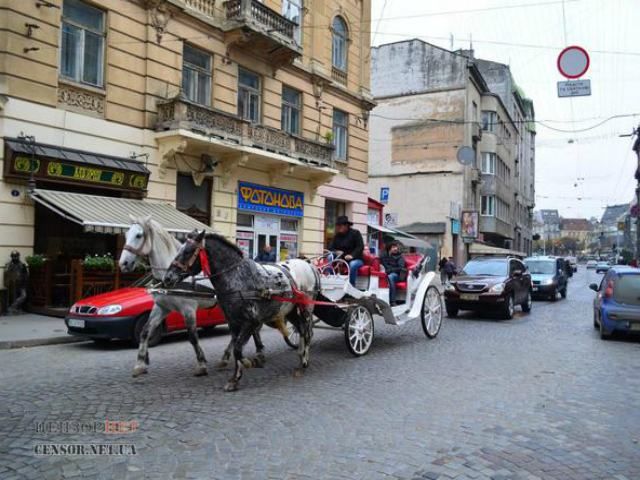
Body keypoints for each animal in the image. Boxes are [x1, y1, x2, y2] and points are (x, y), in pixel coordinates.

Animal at [117, 218, 264, 378]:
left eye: (139, 235)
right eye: (126, 235)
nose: (123, 263)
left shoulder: (188, 310)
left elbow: (193, 337)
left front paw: (201, 364)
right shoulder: (162, 308)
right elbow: (145, 332)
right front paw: (140, 364)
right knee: (244, 329)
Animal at [162, 232, 318, 394]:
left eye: (188, 252)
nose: (167, 278)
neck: (237, 277)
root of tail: (308, 264)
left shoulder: (251, 322)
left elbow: (238, 349)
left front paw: (247, 365)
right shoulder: (233, 322)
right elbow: (236, 346)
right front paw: (235, 378)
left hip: (306, 308)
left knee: (307, 333)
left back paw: (303, 363)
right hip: (290, 310)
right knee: (301, 329)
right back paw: (300, 356)